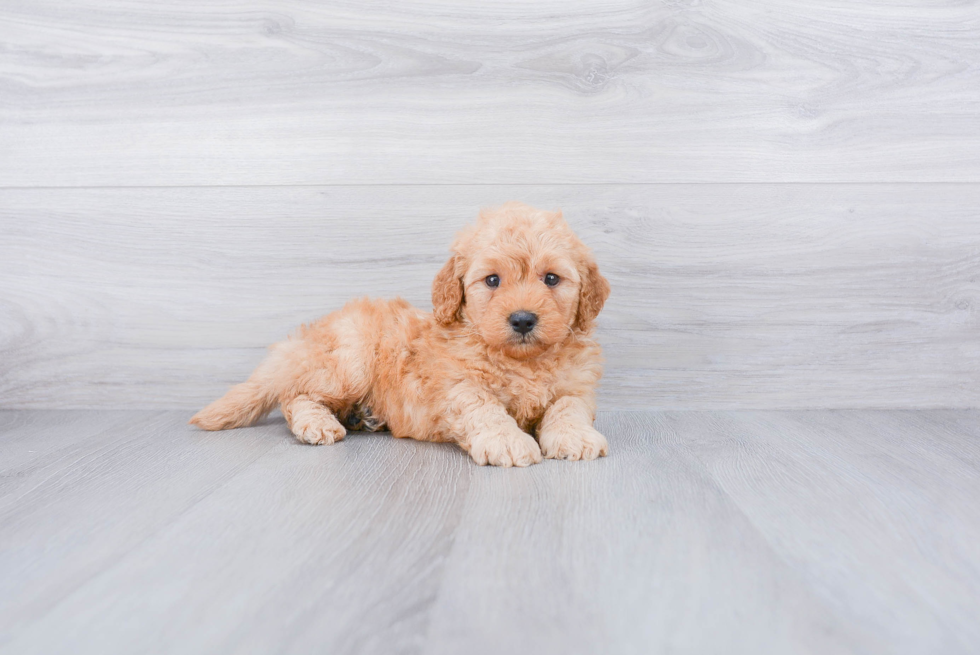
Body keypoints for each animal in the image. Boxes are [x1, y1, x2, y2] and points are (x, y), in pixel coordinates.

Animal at [189, 201, 608, 466]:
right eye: (492, 280)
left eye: (551, 279)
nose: (522, 320)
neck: (523, 361)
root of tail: (304, 339)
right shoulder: (458, 385)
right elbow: (484, 408)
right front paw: (505, 441)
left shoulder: (577, 387)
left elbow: (567, 407)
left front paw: (575, 437)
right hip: (349, 364)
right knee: (296, 394)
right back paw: (318, 424)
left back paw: (361, 417)